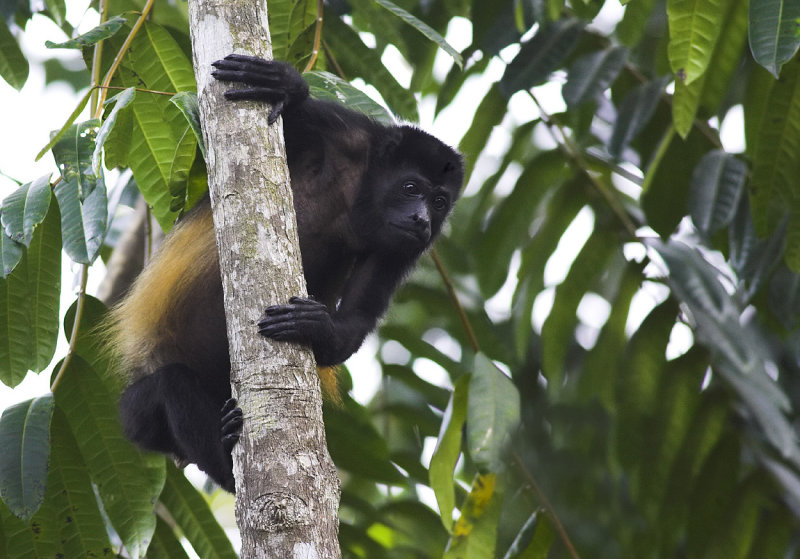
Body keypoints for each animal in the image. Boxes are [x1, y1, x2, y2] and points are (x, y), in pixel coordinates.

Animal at [109, 55, 466, 494]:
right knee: (168, 384)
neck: (360, 195)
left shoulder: (406, 248)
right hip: (137, 414)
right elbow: (203, 151)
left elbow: (353, 325)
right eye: (411, 188)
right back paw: (225, 461)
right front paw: (290, 88)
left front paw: (315, 326)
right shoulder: (343, 133)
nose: (422, 220)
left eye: (439, 202)